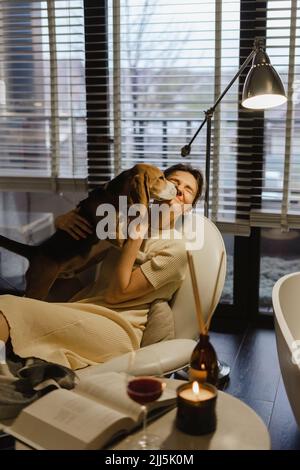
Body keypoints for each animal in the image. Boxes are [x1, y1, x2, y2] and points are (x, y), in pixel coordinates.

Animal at [0, 163, 176, 300]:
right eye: (161, 178)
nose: (176, 188)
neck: (114, 197)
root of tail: (36, 250)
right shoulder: (112, 234)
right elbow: (129, 246)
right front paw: (147, 256)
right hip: (39, 286)